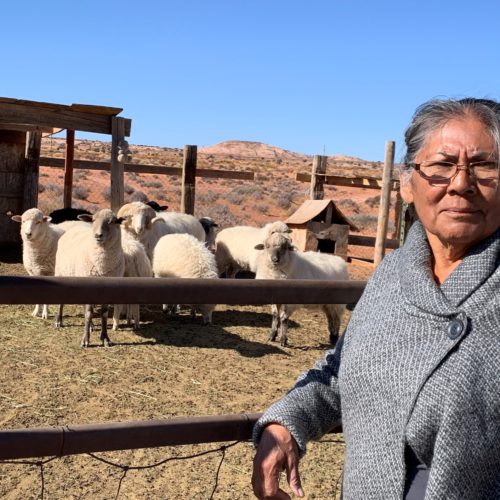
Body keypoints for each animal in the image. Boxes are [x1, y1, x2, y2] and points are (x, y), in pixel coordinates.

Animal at [54, 208, 125, 348]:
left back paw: (91, 326)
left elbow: (103, 314)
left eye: (113, 221)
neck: (102, 265)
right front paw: (85, 340)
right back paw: (59, 321)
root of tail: (74, 224)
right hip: (61, 272)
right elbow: (87, 313)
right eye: (93, 220)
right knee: (62, 302)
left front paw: (105, 338)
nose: (98, 235)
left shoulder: (107, 291)